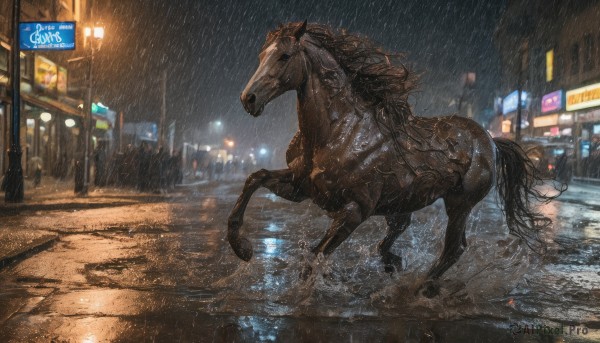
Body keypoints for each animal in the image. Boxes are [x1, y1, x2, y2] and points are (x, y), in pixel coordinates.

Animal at [226, 20, 564, 298]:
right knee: (404, 234)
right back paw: (397, 266)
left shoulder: (355, 210)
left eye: (284, 56)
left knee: (453, 248)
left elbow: (316, 255)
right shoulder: (301, 187)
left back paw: (420, 287)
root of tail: (490, 141)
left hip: (459, 204)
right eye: (261, 56)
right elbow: (254, 179)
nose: (248, 99)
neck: (338, 131)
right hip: (410, 204)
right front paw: (242, 249)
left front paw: (301, 292)